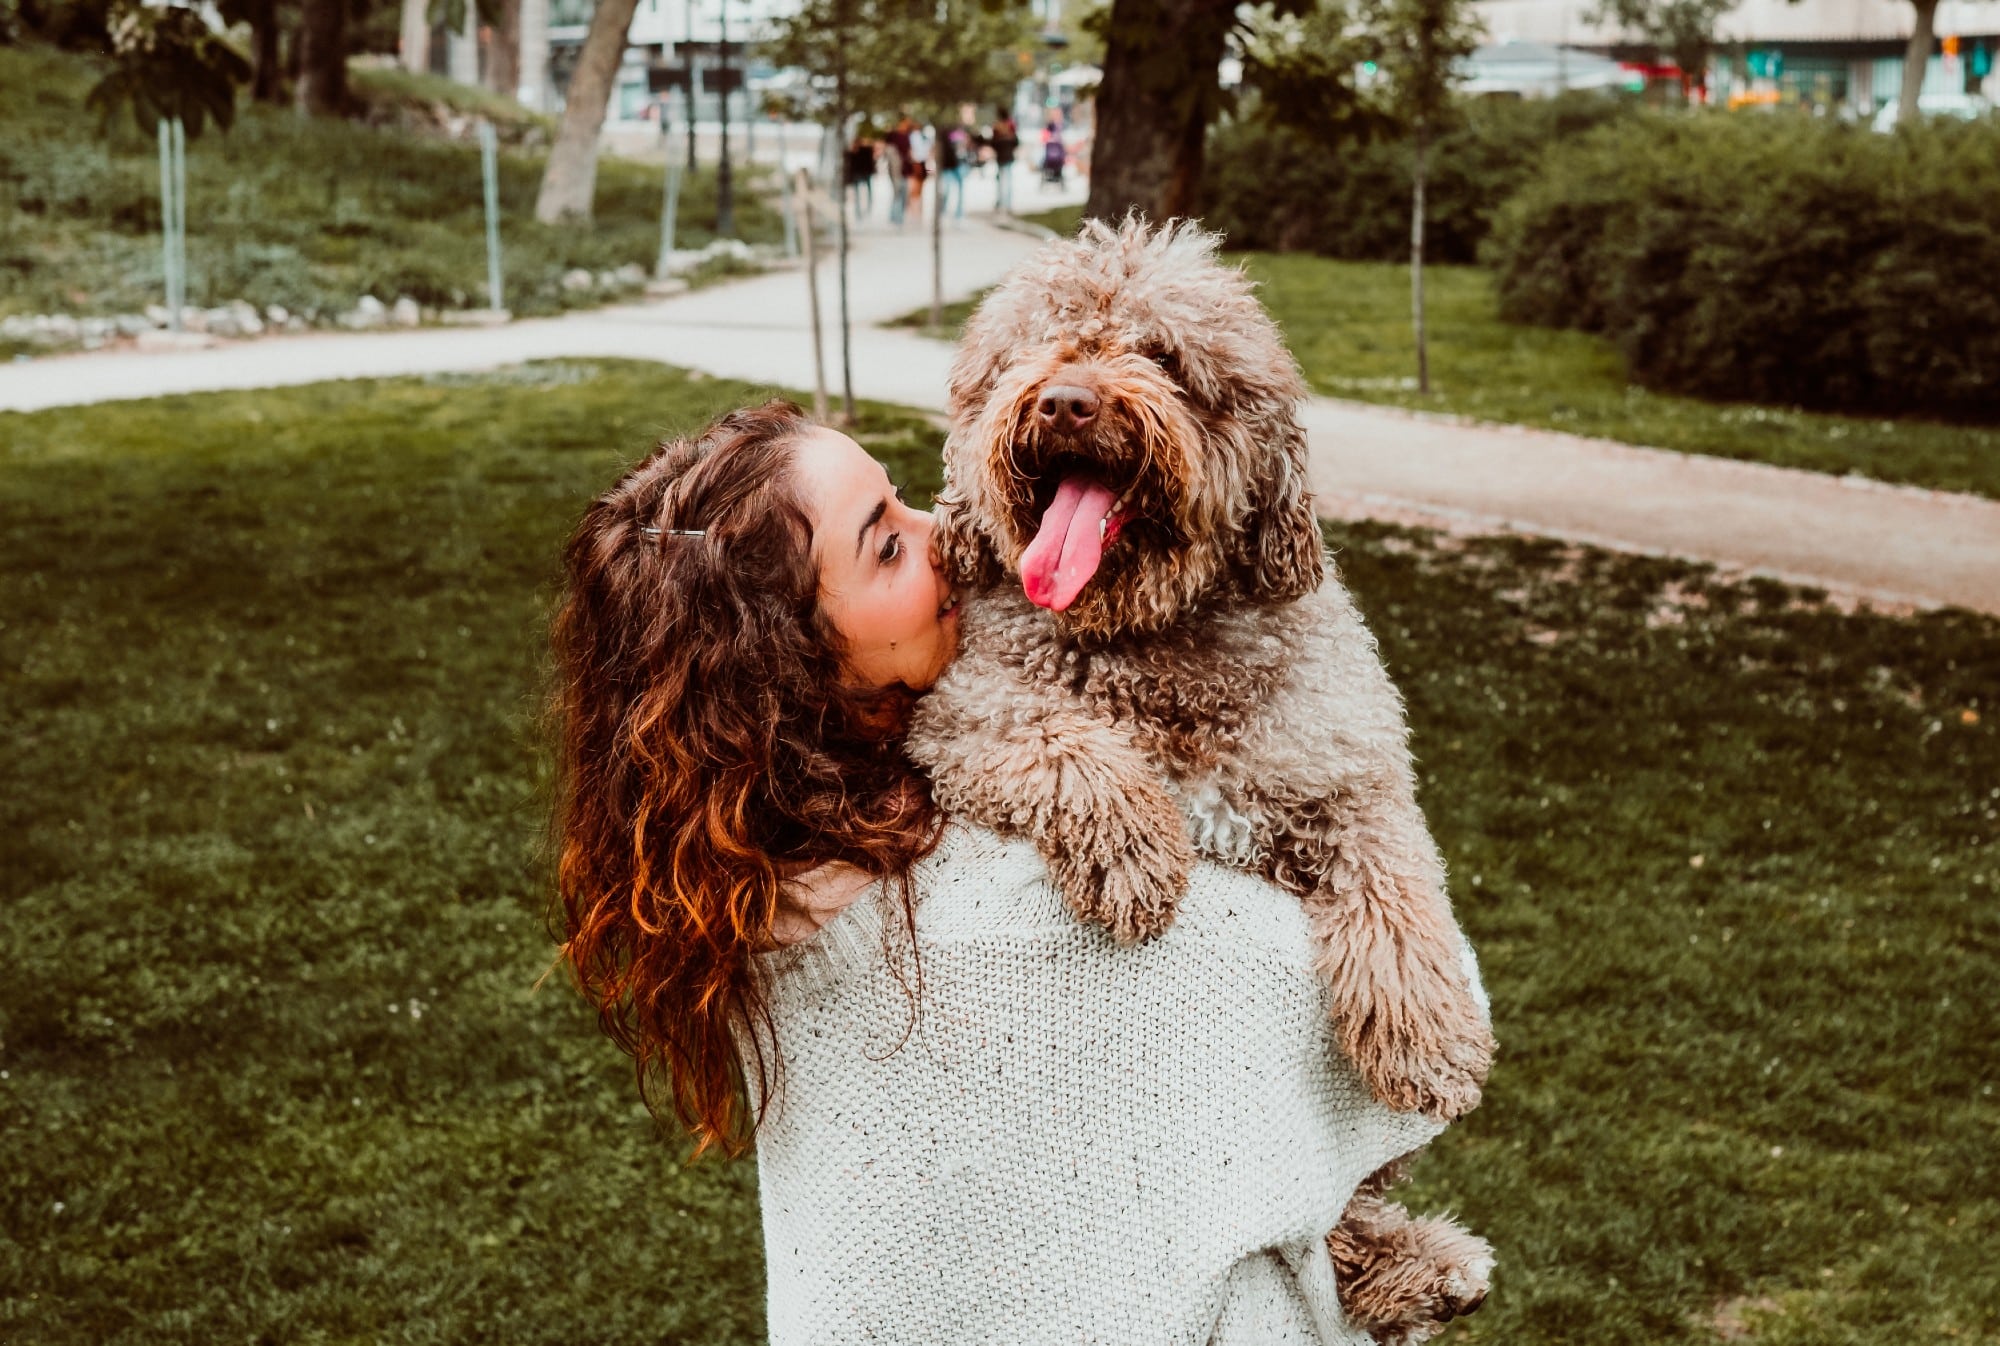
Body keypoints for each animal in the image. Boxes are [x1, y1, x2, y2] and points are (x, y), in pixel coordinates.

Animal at [908, 215, 1504, 1336]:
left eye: (1164, 357)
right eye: (1037, 349)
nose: (1066, 399)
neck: (1151, 639)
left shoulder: (1348, 767)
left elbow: (1395, 884)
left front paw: (1425, 1035)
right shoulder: (962, 712)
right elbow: (1064, 741)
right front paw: (1136, 852)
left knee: (1349, 1205)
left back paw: (1419, 1265)